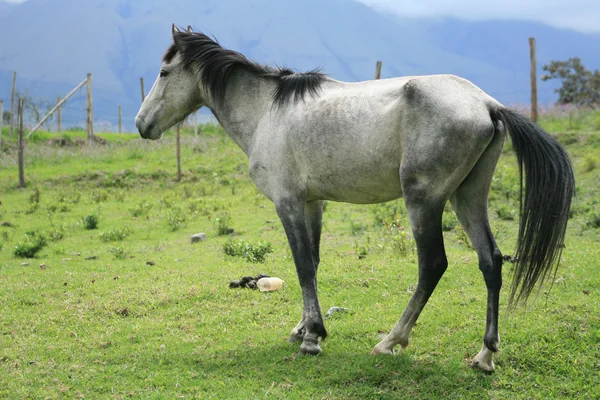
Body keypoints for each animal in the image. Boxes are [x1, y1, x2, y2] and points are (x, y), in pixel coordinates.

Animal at [134, 26, 576, 374]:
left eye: (164, 72)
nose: (141, 124)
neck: (267, 112)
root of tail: (487, 104)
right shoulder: (312, 203)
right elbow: (312, 262)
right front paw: (302, 328)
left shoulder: (287, 202)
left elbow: (302, 265)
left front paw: (312, 338)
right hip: (467, 197)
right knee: (491, 261)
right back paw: (485, 355)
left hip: (424, 200)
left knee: (433, 265)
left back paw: (391, 341)